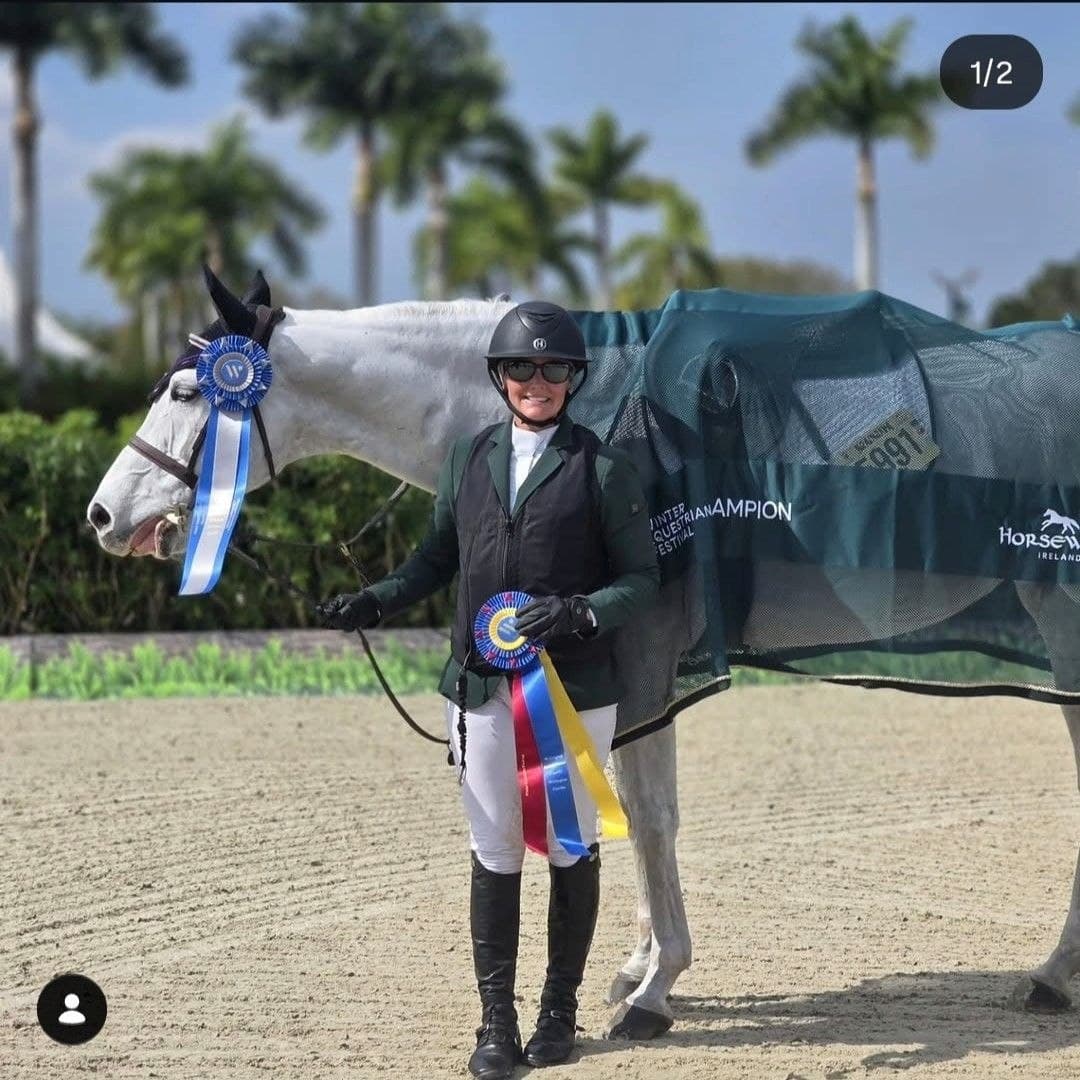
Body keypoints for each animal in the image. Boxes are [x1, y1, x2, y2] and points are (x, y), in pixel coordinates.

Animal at [86, 267, 1080, 1039]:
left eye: (186, 393)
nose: (103, 515)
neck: (591, 414)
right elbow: (637, 811)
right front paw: (638, 964)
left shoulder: (641, 662)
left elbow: (647, 815)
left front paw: (655, 989)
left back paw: (1052, 976)